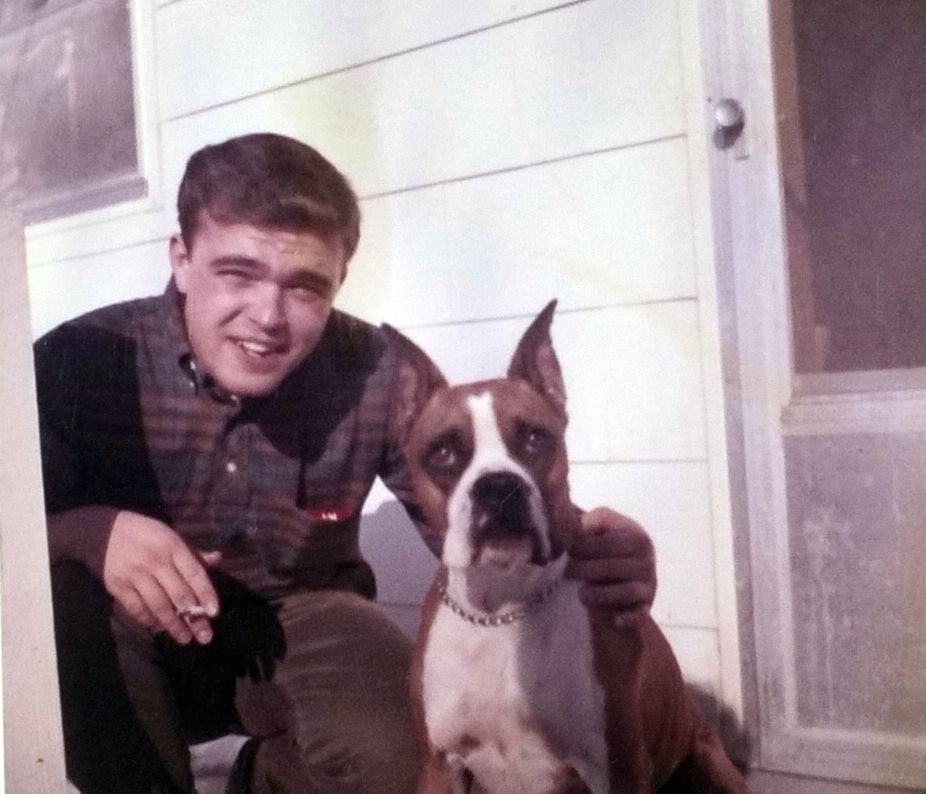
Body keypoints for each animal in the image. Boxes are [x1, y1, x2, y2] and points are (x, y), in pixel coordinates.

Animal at [388, 301, 747, 793]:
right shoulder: (440, 766)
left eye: (535, 438)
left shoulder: (618, 767)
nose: (498, 486)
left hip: (710, 762)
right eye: (442, 452)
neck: (505, 606)